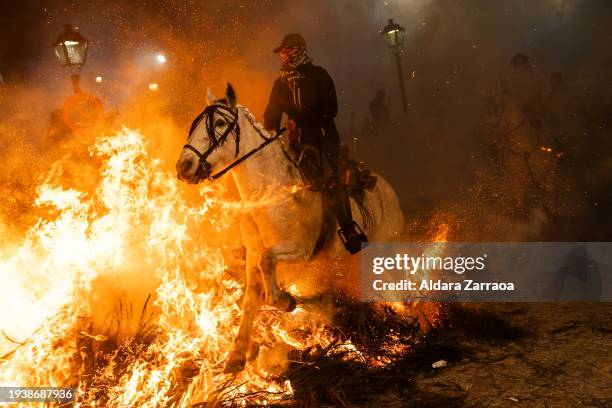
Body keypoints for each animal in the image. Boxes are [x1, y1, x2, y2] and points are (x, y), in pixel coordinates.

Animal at [175, 83, 404, 372]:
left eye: (219, 123)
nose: (184, 166)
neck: (269, 191)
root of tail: (387, 188)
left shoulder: (299, 249)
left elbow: (268, 265)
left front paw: (285, 300)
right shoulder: (253, 252)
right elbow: (250, 296)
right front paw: (237, 354)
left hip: (387, 250)